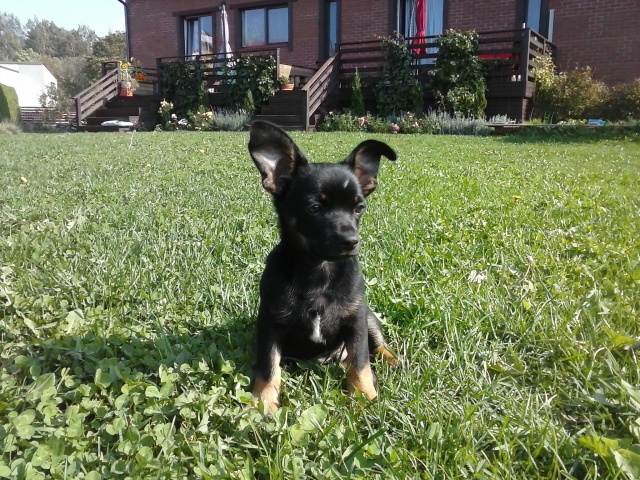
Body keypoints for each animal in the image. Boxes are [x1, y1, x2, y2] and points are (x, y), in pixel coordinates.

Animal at [248, 120, 397, 412]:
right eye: (314, 208)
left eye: (359, 208)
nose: (351, 241)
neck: (320, 269)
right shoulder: (270, 324)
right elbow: (268, 366)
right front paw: (263, 401)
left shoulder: (355, 321)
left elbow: (360, 362)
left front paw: (364, 395)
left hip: (368, 317)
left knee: (377, 346)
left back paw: (392, 360)